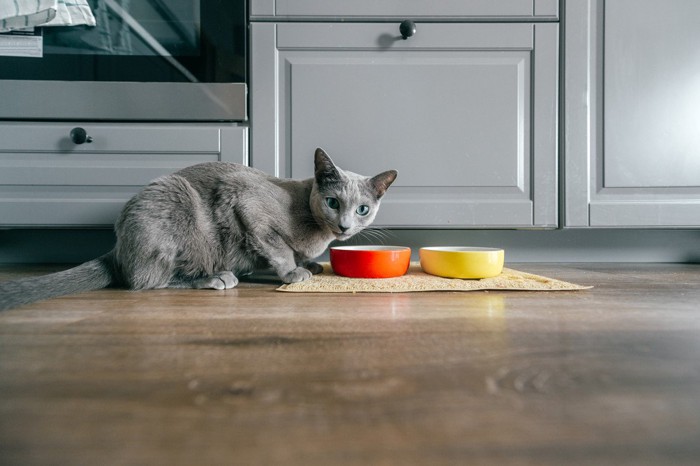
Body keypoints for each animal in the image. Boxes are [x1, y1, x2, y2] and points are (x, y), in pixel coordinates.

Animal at [0, 147, 396, 312]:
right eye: (332, 202)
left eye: (362, 209)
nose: (344, 226)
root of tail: (116, 247)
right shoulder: (246, 200)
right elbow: (278, 247)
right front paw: (294, 272)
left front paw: (310, 264)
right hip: (174, 203)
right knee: (146, 280)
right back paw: (215, 277)